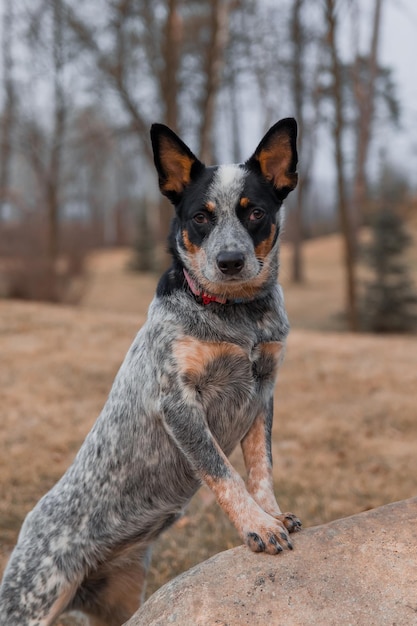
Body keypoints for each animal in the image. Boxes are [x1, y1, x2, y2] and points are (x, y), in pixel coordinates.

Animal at [0, 118, 300, 624]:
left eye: (254, 212)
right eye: (200, 217)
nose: (230, 261)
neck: (235, 316)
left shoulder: (264, 394)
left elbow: (261, 468)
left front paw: (272, 514)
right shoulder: (179, 403)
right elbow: (224, 473)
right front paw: (258, 525)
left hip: (123, 601)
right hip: (35, 596)